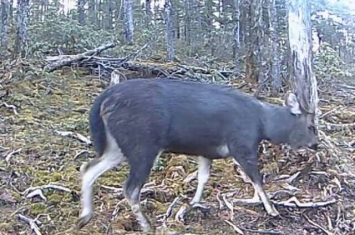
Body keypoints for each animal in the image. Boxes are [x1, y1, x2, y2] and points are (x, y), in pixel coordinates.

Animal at [75, 78, 320, 232]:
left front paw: (194, 202)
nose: (316, 144)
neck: (263, 125)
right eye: (311, 126)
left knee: (88, 168)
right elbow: (257, 180)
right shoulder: (241, 144)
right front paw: (272, 210)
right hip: (143, 143)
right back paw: (145, 225)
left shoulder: (206, 151)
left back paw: (84, 216)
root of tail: (103, 100)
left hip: (117, 145)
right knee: (130, 187)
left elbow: (203, 177)